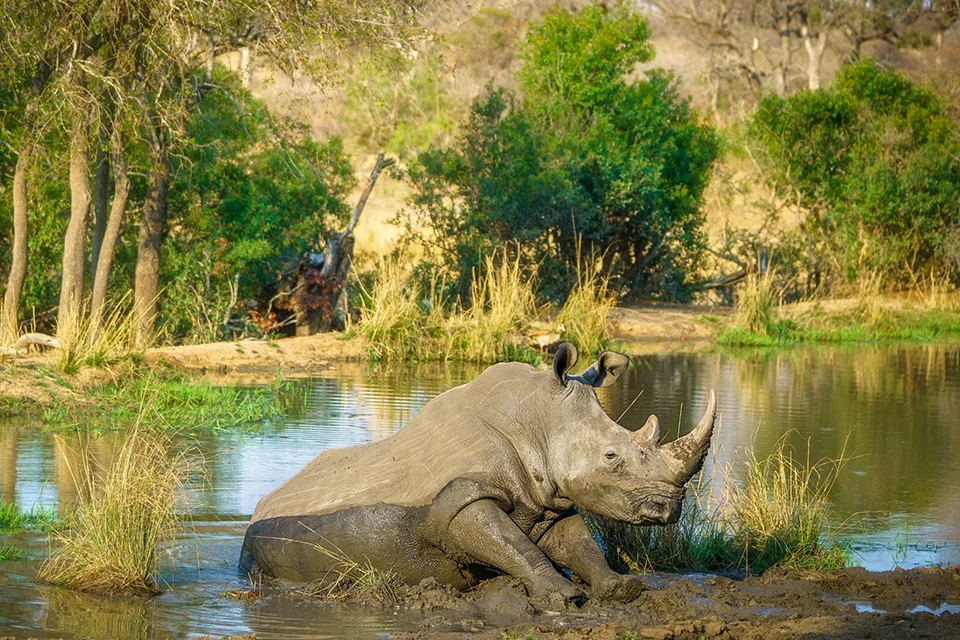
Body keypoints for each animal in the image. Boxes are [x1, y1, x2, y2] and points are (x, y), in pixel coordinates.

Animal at [240, 343, 717, 603]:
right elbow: (512, 544)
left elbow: (576, 543)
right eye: (611, 456)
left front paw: (621, 589)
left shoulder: (549, 499)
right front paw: (564, 597)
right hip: (264, 536)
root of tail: (258, 508)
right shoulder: (460, 498)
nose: (669, 510)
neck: (537, 421)